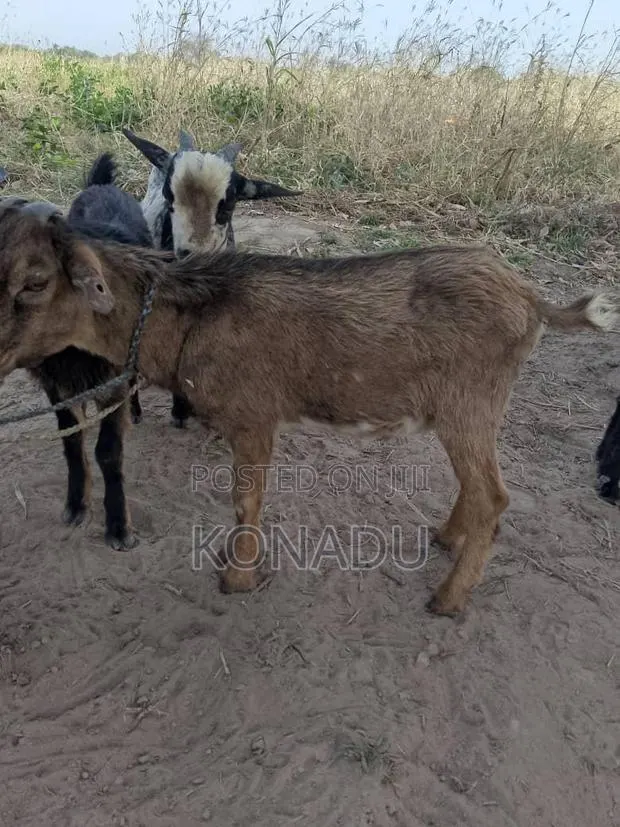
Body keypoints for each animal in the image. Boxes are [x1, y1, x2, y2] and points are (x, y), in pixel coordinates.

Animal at [0, 208, 618, 615]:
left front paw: (237, 578)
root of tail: (532, 299)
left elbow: (246, 499)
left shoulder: (253, 416)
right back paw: (446, 539)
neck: (187, 318)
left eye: (36, 282)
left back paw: (446, 598)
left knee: (493, 494)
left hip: (472, 400)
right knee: (479, 485)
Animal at [5, 155, 154, 550]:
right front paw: (76, 505)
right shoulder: (58, 388)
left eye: (35, 279)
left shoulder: (111, 382)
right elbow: (72, 443)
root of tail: (102, 184)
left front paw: (118, 525)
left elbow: (107, 451)